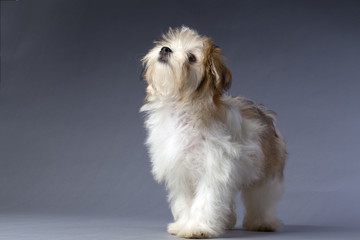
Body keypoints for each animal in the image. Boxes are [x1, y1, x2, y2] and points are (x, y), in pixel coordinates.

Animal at [139, 26, 286, 238]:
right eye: (168, 43)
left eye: (191, 57)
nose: (165, 49)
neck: (182, 109)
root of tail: (262, 111)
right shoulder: (181, 172)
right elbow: (185, 202)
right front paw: (183, 224)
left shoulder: (213, 170)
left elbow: (205, 201)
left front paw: (198, 228)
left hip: (267, 169)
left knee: (261, 197)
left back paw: (262, 222)